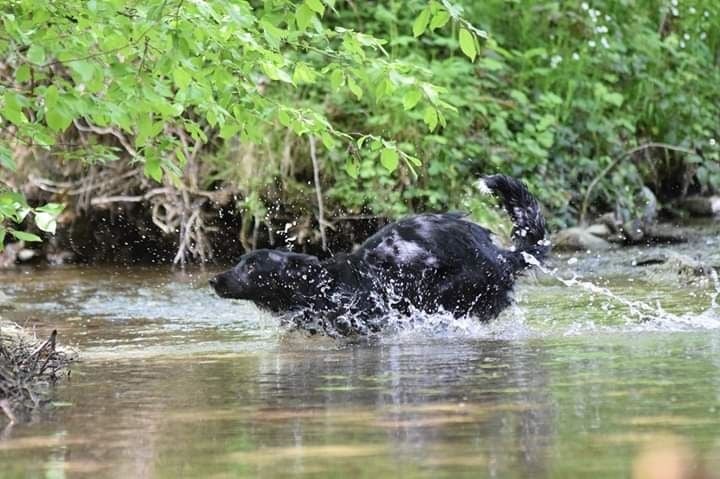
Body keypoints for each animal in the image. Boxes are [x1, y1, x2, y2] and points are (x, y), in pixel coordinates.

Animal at [211, 174, 548, 336]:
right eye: (239, 262)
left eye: (252, 267)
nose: (214, 280)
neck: (323, 286)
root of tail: (502, 255)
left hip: (446, 294)